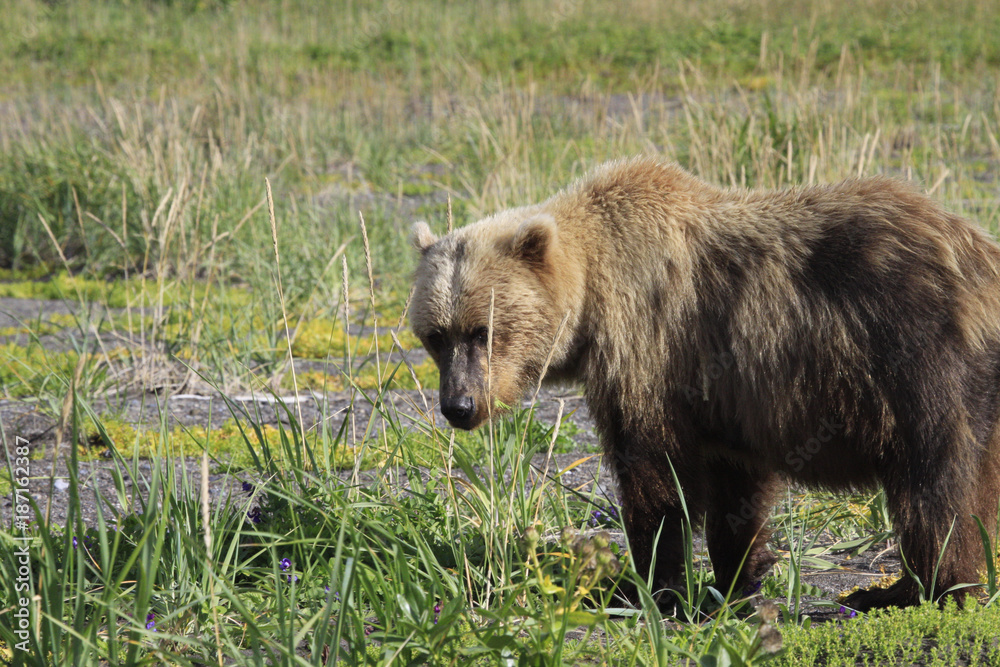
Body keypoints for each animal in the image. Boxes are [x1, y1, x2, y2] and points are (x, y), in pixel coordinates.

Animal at [408, 156, 1000, 611]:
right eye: (436, 335)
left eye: (483, 330)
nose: (459, 405)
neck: (594, 299)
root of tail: (980, 252)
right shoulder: (729, 394)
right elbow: (736, 488)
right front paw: (738, 577)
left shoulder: (650, 350)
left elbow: (655, 477)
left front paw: (647, 585)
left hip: (916, 356)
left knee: (935, 480)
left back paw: (918, 589)